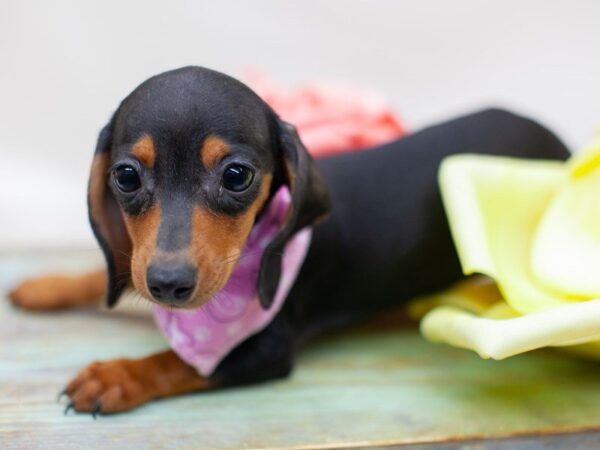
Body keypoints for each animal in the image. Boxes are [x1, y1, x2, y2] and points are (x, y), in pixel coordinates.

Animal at [10, 65, 572, 414]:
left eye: (237, 176)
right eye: (125, 176)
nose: (168, 284)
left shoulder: (267, 347)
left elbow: (179, 363)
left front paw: (117, 377)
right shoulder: (138, 261)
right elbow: (113, 271)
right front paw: (47, 285)